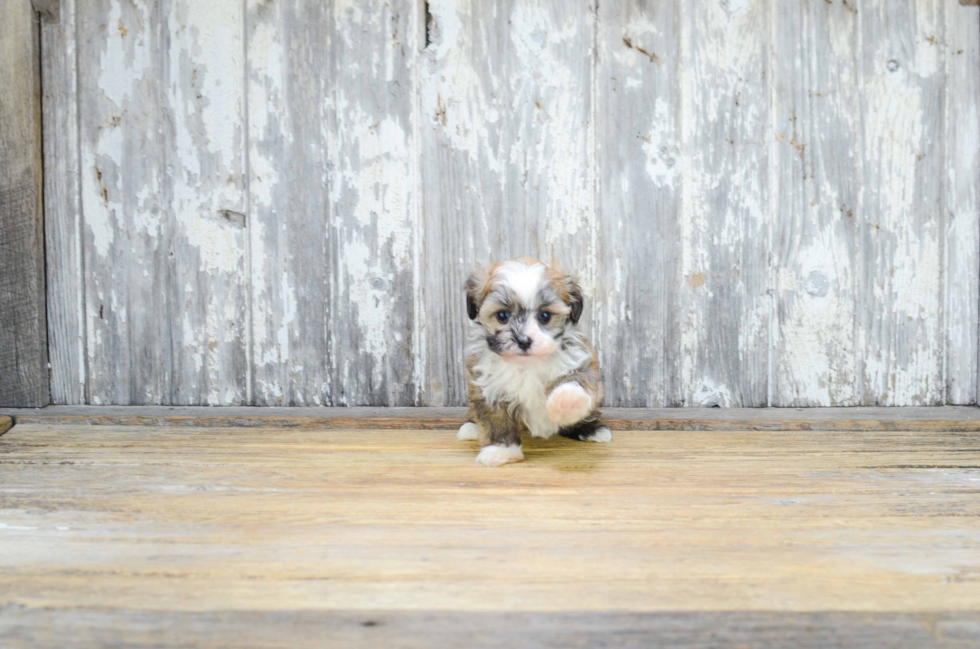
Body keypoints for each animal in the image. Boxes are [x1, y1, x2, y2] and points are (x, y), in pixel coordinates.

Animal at [456, 256, 608, 466]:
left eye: (545, 316)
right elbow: (497, 420)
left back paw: (591, 429)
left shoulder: (579, 362)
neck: (527, 364)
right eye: (502, 316)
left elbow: (578, 382)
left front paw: (567, 402)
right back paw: (470, 428)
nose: (523, 340)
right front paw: (501, 450)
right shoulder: (488, 387)